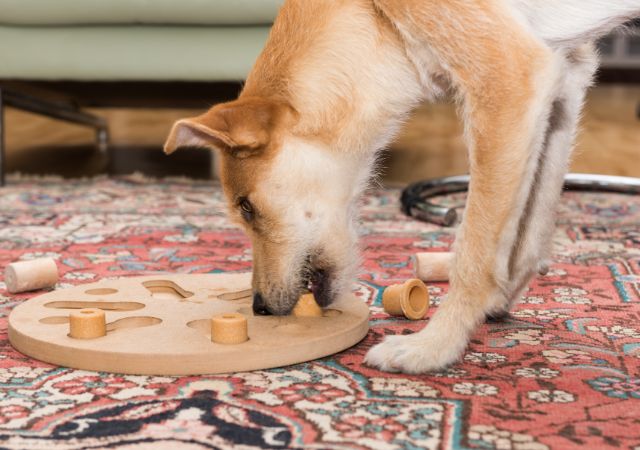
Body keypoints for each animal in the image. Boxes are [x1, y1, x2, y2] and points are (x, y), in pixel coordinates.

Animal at [165, 0, 640, 372]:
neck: (370, 15)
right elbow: (531, 226)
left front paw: (436, 346)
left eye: (246, 207)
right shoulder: (564, 78)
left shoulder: (508, 78)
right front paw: (502, 296)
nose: (258, 307)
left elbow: (474, 255)